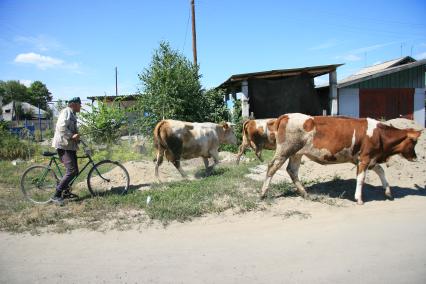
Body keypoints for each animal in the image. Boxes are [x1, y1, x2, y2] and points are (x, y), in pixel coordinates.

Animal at [262, 113, 422, 204]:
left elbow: (381, 171)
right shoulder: (365, 158)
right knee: (272, 167)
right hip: (285, 149)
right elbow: (361, 178)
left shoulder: (368, 159)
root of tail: (287, 115)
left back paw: (305, 193)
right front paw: (359, 199)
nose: (416, 157)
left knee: (292, 170)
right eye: (414, 142)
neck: (380, 135)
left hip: (297, 152)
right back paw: (263, 193)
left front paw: (388, 192)